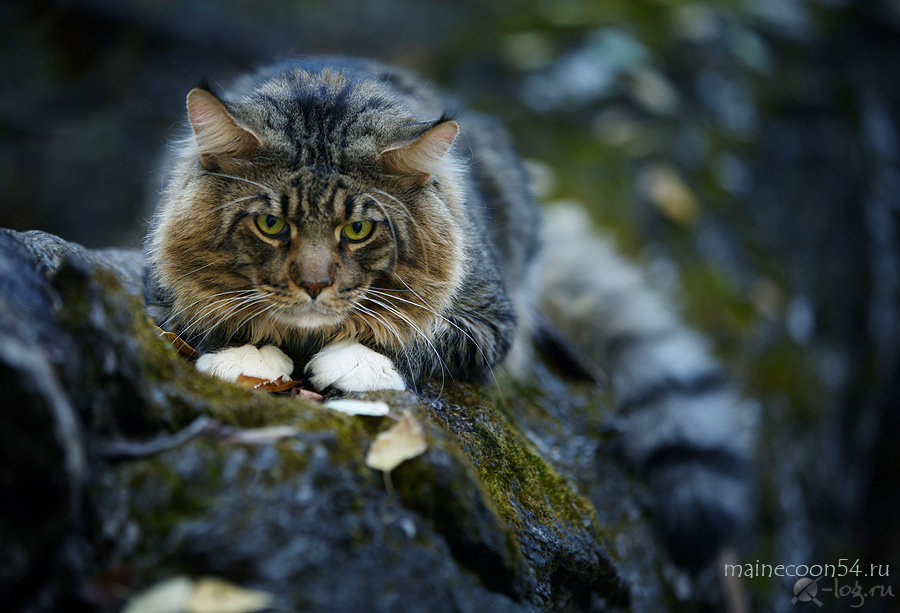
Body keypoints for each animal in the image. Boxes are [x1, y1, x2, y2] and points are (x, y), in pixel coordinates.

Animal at [146, 58, 752, 568]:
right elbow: (198, 313)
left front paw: (356, 361)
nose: (315, 285)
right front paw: (242, 353)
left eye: (358, 229)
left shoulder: (493, 318)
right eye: (271, 225)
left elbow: (424, 333)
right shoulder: (154, 282)